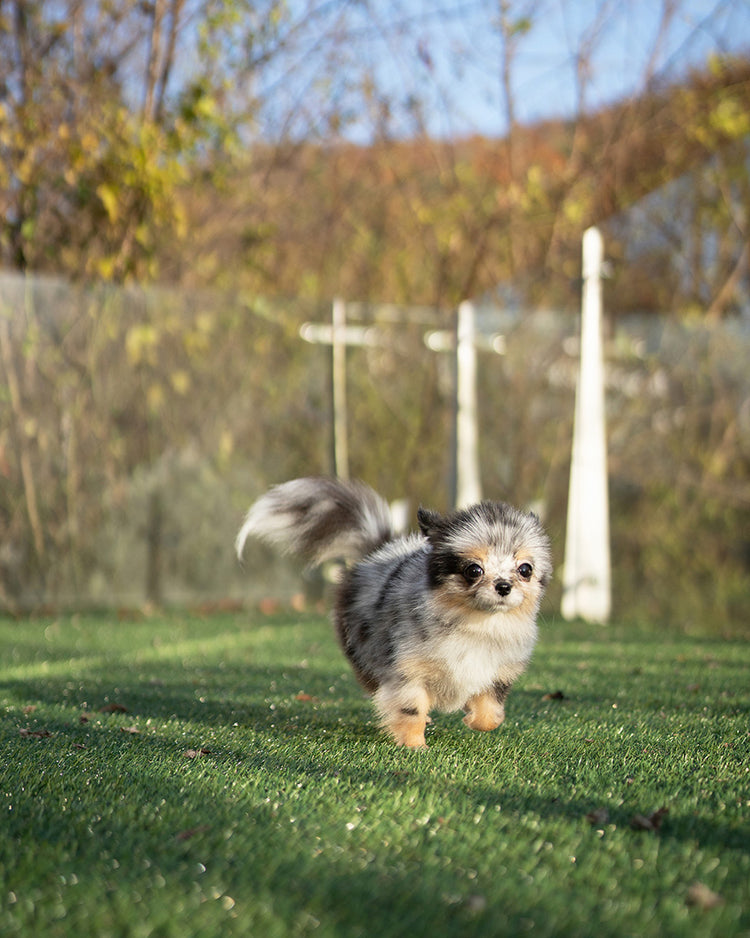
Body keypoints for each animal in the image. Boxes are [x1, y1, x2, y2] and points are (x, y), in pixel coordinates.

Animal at [238, 476, 556, 744]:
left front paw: (476, 720)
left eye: (525, 569)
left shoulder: (500, 670)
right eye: (473, 570)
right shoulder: (406, 670)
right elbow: (410, 707)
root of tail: (380, 549)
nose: (503, 586)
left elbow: (491, 710)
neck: (476, 623)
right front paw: (413, 745)